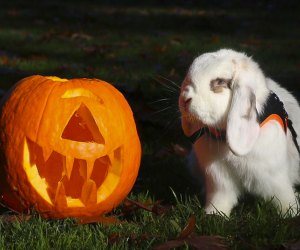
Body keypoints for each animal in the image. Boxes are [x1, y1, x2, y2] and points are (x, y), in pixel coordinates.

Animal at [179, 49, 298, 217]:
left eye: (220, 82)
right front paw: (214, 213)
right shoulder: (219, 180)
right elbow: (221, 198)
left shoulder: (275, 176)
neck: (224, 137)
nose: (184, 99)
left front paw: (291, 212)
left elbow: (283, 195)